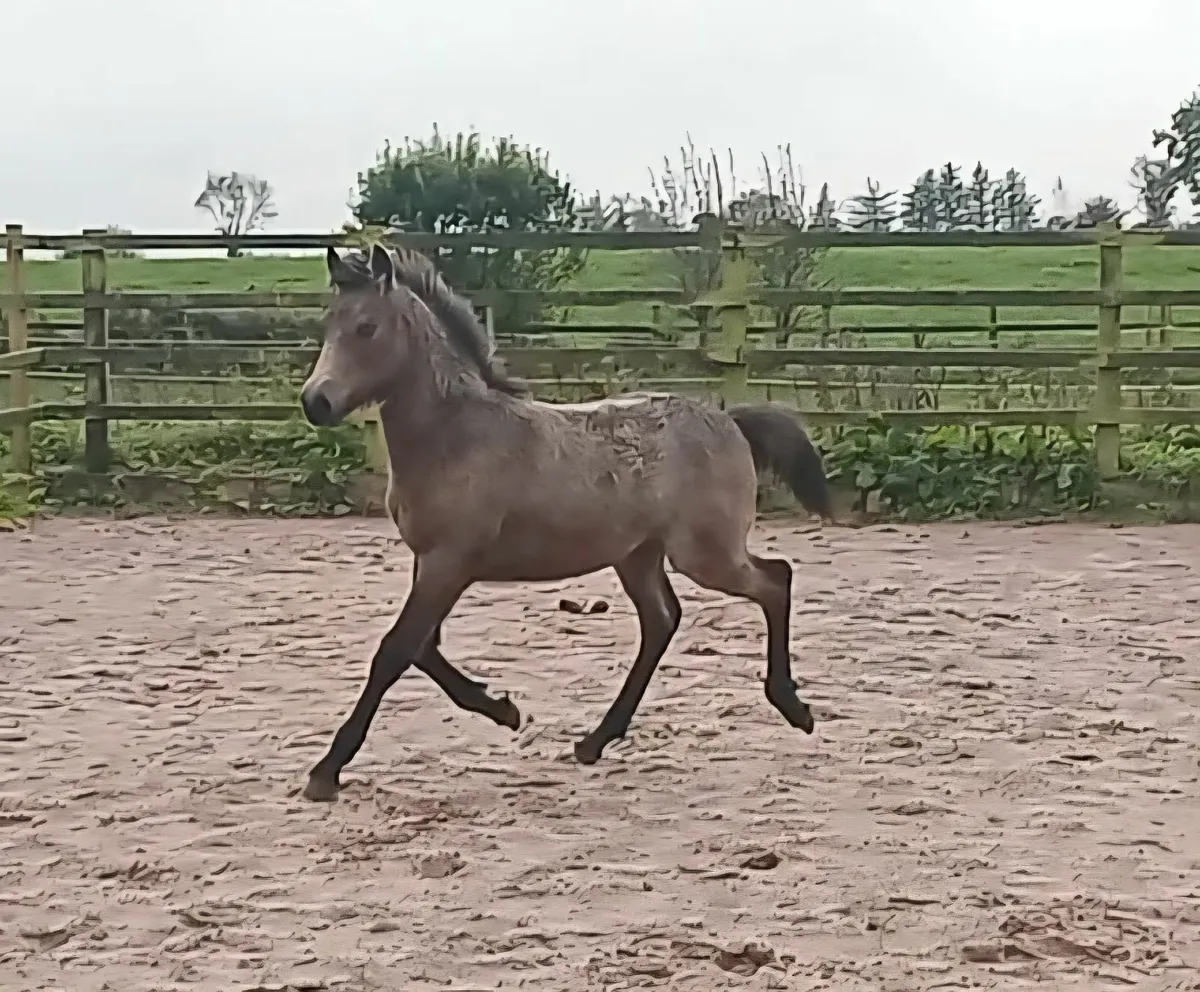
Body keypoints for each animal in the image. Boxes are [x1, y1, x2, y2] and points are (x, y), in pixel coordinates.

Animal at [297, 242, 834, 802]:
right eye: (328, 323)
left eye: (366, 327)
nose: (316, 402)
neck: (455, 435)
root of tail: (731, 421)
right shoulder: (431, 562)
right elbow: (423, 649)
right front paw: (503, 709)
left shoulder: (449, 562)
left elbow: (395, 651)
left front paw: (326, 770)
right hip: (638, 556)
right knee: (662, 620)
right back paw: (595, 740)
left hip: (705, 553)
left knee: (775, 580)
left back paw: (794, 708)